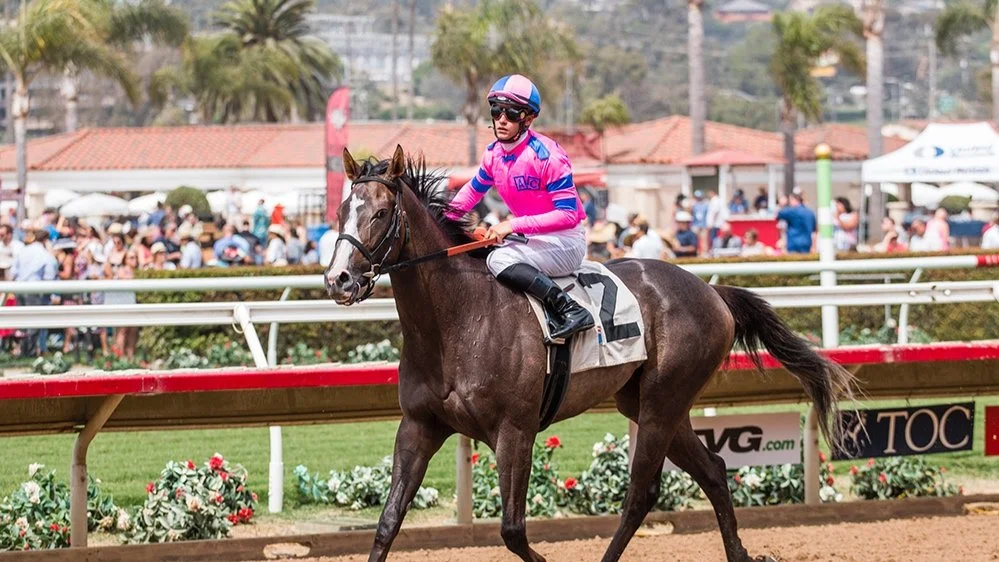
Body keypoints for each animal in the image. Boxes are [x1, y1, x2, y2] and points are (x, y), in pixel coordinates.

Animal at [324, 145, 855, 562]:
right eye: (342, 210)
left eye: (379, 214)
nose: (338, 280)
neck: (457, 321)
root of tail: (711, 291)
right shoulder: (419, 426)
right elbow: (388, 523)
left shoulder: (514, 431)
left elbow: (513, 531)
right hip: (650, 402)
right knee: (714, 471)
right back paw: (739, 552)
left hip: (663, 401)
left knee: (641, 493)